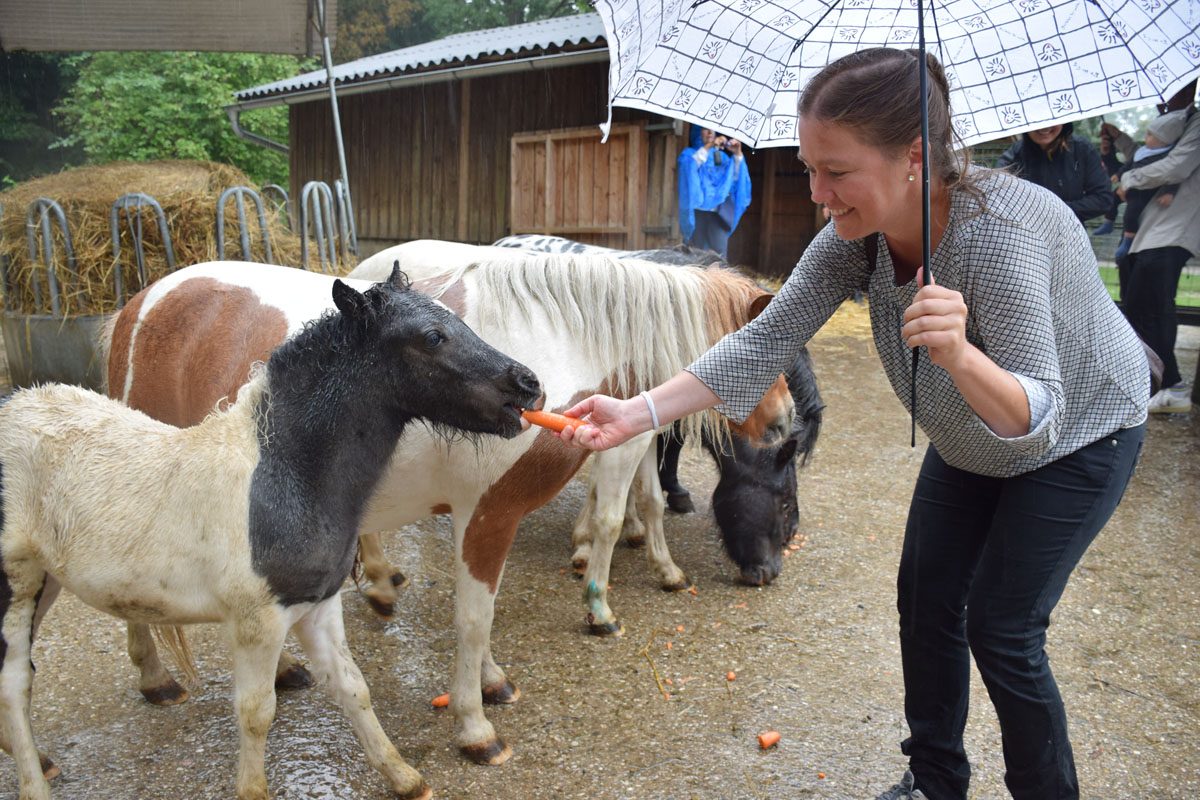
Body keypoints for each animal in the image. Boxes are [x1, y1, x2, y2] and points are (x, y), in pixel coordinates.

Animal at [0, 271, 542, 800]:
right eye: (432, 337)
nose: (528, 382)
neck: (285, 476)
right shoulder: (257, 622)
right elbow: (256, 713)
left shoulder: (318, 606)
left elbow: (353, 688)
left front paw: (406, 778)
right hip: (16, 590)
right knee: (14, 685)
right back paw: (35, 783)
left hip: (47, 582)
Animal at [108, 247, 792, 767]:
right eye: (766, 356)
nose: (785, 420)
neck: (557, 339)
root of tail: (142, 303)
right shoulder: (486, 513)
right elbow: (474, 618)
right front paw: (476, 727)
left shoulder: (492, 517)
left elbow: (485, 609)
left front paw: (492, 682)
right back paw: (156, 678)